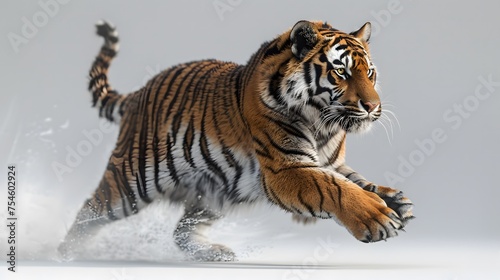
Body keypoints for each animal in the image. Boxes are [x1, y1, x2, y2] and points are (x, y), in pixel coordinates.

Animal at [58, 20, 414, 262]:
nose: (373, 107)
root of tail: (137, 94)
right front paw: (376, 217)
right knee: (90, 211)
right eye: (341, 73)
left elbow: (358, 181)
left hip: (216, 190)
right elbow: (336, 188)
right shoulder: (286, 168)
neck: (323, 125)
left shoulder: (331, 162)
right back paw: (65, 251)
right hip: (132, 183)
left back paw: (214, 252)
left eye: (370, 73)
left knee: (182, 230)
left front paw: (396, 201)